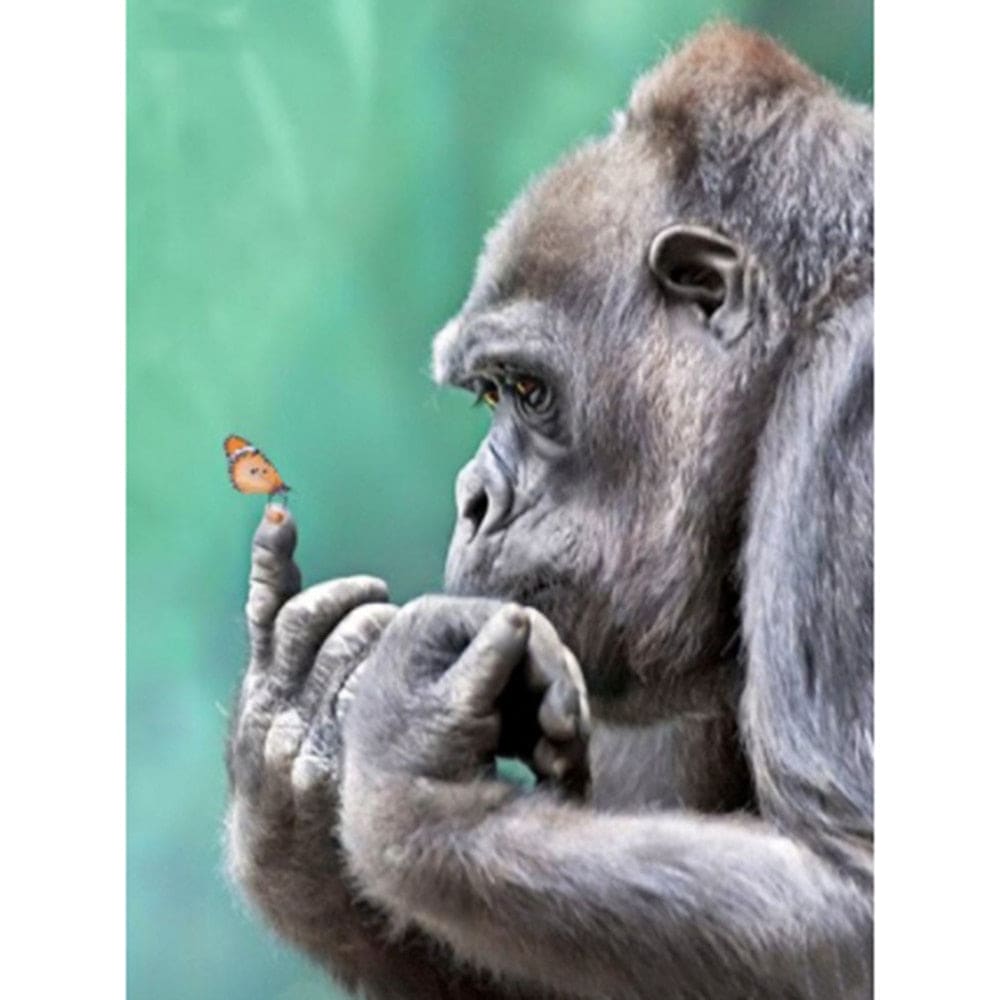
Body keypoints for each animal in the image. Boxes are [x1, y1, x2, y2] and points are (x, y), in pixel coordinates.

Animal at [225, 22, 873, 1000]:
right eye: (486, 395)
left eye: (529, 392)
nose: (473, 500)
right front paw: (292, 754)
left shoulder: (851, 401)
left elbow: (852, 897)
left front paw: (414, 778)